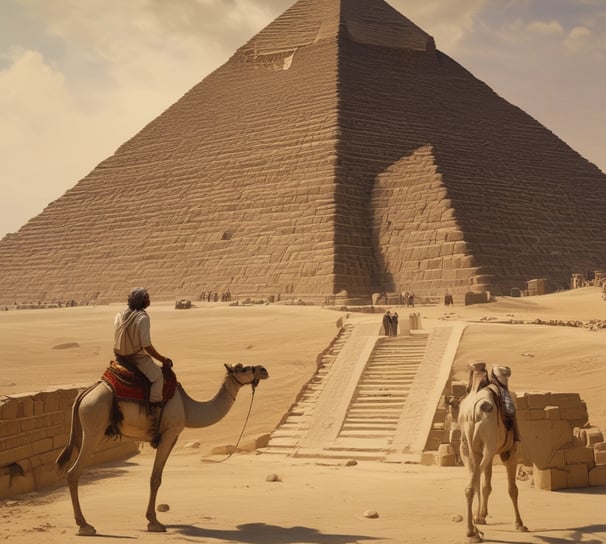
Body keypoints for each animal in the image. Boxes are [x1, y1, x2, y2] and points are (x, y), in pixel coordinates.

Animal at [55, 362, 270, 536]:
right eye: (243, 368)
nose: (263, 369)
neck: (187, 406)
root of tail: (85, 394)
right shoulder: (168, 433)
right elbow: (155, 478)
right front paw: (154, 522)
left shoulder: (173, 437)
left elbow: (156, 477)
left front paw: (153, 520)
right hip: (94, 429)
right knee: (73, 472)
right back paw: (85, 525)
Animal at [458, 360, 528, 540]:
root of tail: (473, 410)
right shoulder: (510, 451)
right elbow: (513, 489)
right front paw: (520, 524)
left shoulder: (486, 452)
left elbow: (486, 486)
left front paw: (481, 516)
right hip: (488, 443)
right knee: (474, 480)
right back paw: (473, 531)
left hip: (467, 447)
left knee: (472, 481)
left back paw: (472, 529)